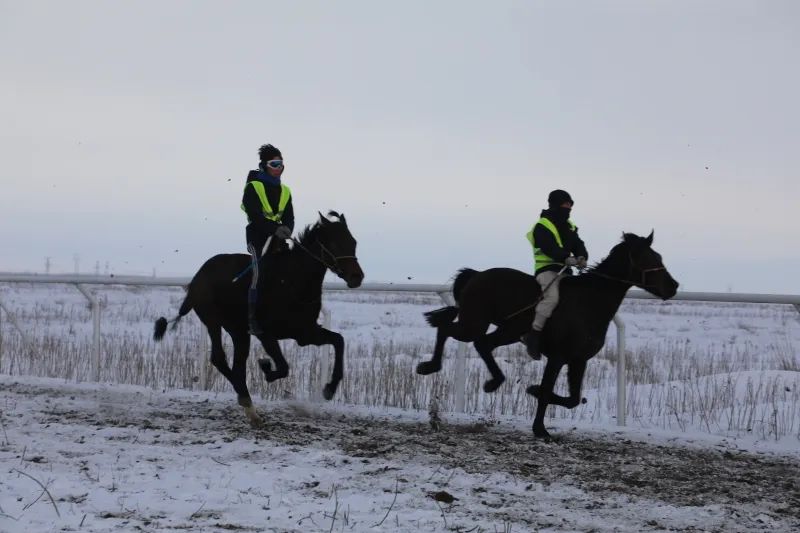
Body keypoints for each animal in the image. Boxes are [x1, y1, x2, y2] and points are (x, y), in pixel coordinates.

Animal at [153, 211, 364, 426]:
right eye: (335, 243)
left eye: (353, 242)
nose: (357, 277)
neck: (293, 281)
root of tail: (197, 278)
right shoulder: (265, 333)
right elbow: (283, 367)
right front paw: (266, 367)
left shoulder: (305, 332)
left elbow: (339, 340)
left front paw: (330, 388)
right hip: (213, 321)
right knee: (219, 358)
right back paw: (246, 398)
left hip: (238, 331)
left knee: (236, 364)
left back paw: (250, 408)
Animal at [416, 231, 679, 439]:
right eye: (649, 258)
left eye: (659, 257)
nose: (673, 287)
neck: (589, 302)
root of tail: (477, 274)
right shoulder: (558, 357)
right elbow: (546, 393)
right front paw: (540, 429)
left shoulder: (578, 360)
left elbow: (572, 399)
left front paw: (532, 391)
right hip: (475, 324)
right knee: (449, 330)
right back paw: (430, 367)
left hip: (508, 331)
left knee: (483, 344)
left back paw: (493, 382)